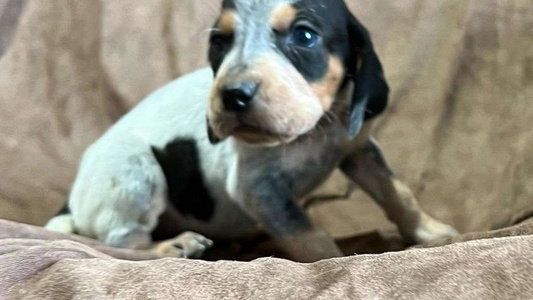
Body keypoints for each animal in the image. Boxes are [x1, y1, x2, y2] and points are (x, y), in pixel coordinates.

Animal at [44, 0, 458, 262]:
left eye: (304, 36)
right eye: (219, 42)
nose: (233, 96)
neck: (312, 132)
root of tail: (72, 196)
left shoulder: (358, 149)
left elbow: (397, 192)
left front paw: (432, 232)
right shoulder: (259, 190)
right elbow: (310, 236)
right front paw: (334, 261)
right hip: (137, 174)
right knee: (122, 239)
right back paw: (172, 246)